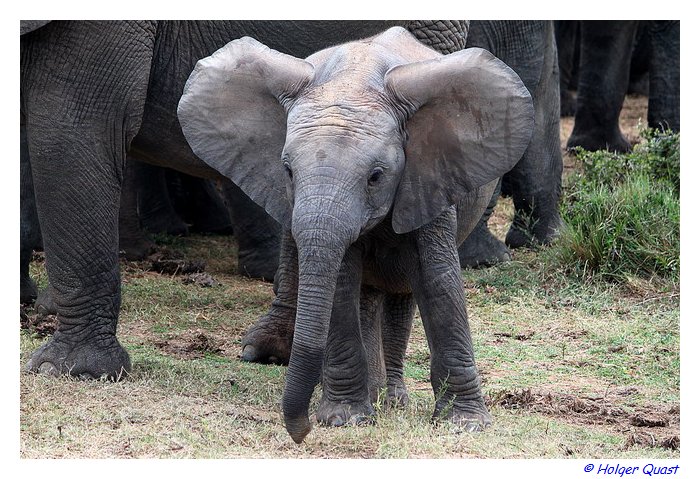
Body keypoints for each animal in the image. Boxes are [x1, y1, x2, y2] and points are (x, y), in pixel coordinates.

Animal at [178, 27, 534, 442]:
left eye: (376, 176)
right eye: (287, 171)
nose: (300, 433)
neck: (353, 77)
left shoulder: (428, 176)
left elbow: (438, 281)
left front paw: (466, 424)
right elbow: (342, 283)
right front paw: (345, 419)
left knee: (401, 295)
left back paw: (391, 399)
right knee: (367, 294)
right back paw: (376, 397)